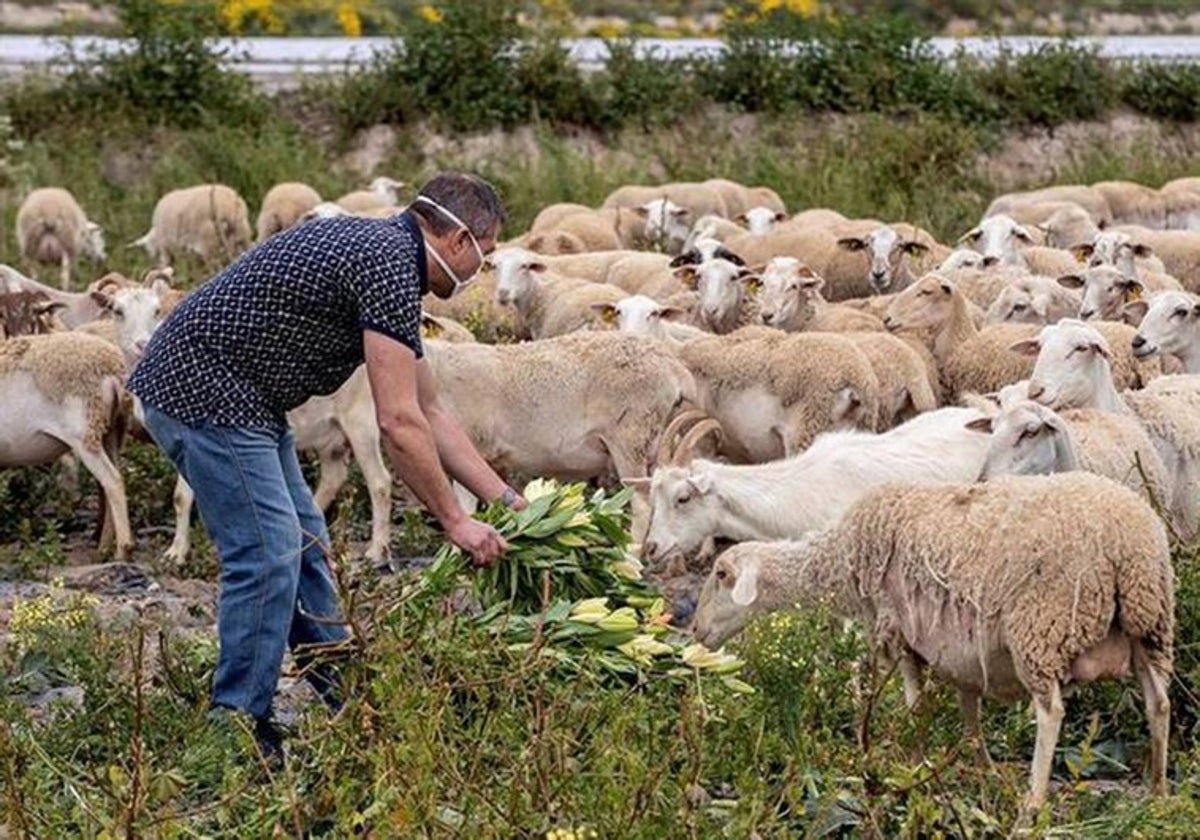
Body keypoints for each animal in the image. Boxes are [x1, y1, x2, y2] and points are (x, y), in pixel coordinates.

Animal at [0, 333, 132, 556]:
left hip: (84, 434)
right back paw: (104, 549)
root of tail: (113, 370)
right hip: (111, 430)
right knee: (111, 482)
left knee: (113, 481)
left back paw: (123, 551)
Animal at [696, 470, 1171, 811]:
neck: (840, 561)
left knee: (1051, 711)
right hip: (1149, 626)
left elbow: (915, 706)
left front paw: (914, 768)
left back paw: (1033, 803)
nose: (696, 631)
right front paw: (983, 769)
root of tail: (1129, 545)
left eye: (721, 575)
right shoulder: (962, 648)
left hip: (1040, 628)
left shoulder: (899, 631)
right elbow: (970, 712)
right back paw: (1158, 791)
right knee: (1159, 703)